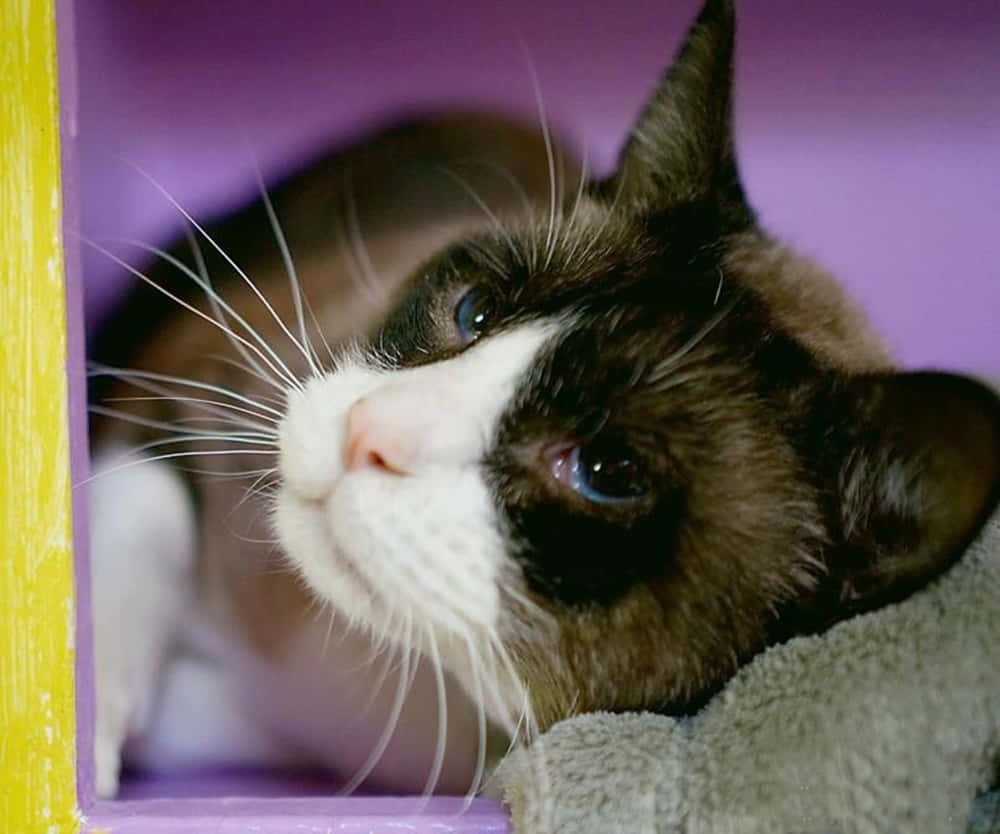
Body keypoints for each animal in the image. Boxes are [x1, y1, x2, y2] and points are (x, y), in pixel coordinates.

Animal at [86, 0, 1000, 804]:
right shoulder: (196, 375)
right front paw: (83, 734)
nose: (365, 436)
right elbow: (130, 514)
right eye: (475, 311)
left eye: (605, 470)